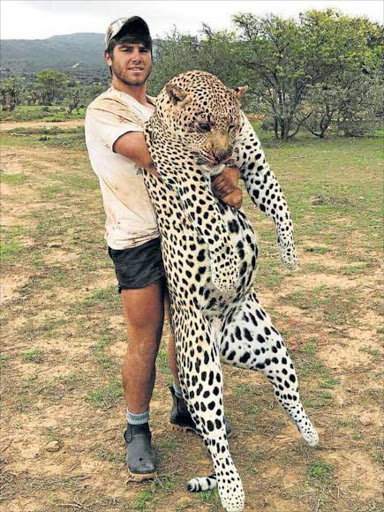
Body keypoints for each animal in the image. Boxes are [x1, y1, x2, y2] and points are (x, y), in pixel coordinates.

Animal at [142, 71, 318, 512]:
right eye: (203, 125)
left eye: (233, 125)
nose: (221, 154)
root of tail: (222, 338)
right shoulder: (187, 177)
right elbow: (211, 218)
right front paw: (223, 270)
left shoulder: (253, 162)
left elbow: (277, 201)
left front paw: (289, 254)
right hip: (200, 365)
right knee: (215, 436)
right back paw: (231, 490)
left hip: (269, 347)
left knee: (287, 393)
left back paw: (310, 433)